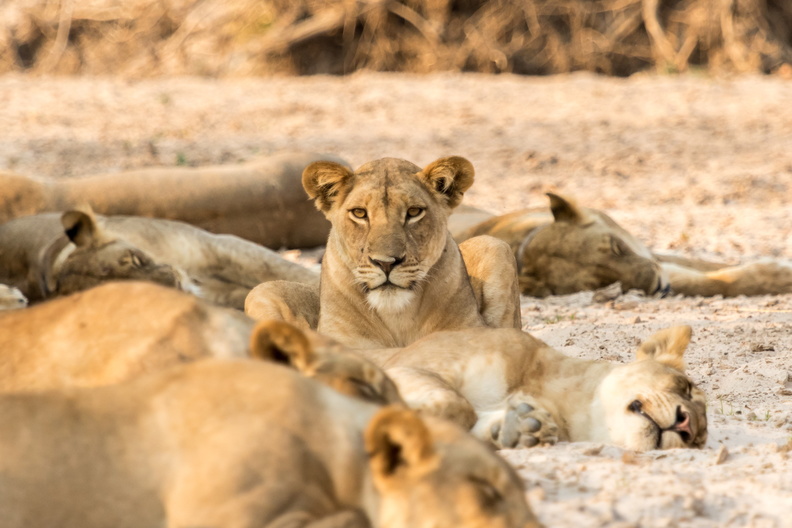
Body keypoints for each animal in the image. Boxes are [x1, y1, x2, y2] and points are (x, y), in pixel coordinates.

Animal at [245, 156, 522, 348]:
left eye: (413, 212)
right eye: (359, 213)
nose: (386, 263)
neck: (397, 315)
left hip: (495, 245)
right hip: (261, 292)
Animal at [358, 325, 706, 452]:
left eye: (698, 442)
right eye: (687, 388)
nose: (687, 427)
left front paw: (520, 431)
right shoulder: (407, 365)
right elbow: (457, 403)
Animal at [452, 193, 792, 297]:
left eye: (616, 248)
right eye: (603, 282)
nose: (658, 288)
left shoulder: (651, 255)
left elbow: (716, 271)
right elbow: (707, 282)